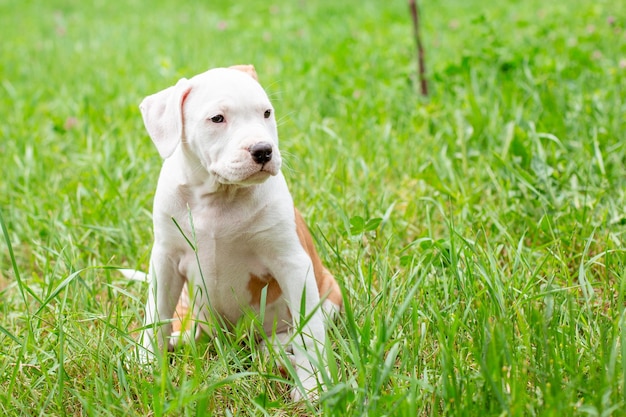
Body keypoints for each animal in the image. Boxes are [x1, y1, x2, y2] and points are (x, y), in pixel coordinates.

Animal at [136, 65, 342, 400]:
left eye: (266, 113)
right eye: (217, 118)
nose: (264, 150)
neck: (219, 197)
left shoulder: (292, 263)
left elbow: (310, 334)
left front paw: (315, 388)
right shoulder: (165, 260)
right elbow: (155, 314)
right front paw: (145, 366)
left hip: (328, 299)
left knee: (292, 335)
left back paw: (275, 350)